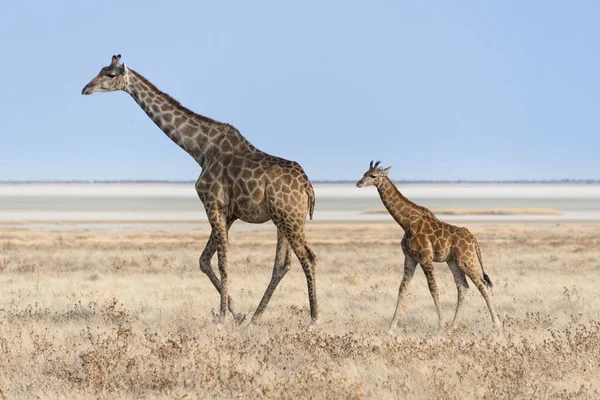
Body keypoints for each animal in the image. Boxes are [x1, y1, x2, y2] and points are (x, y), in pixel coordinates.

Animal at [82, 54, 322, 326]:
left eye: (110, 74)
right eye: (100, 69)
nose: (86, 88)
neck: (200, 149)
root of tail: (308, 187)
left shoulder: (213, 204)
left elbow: (222, 261)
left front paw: (221, 318)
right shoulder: (228, 213)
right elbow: (204, 260)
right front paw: (237, 314)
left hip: (290, 218)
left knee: (308, 258)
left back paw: (313, 320)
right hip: (281, 219)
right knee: (282, 265)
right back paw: (255, 318)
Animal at [356, 160, 502, 332]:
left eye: (373, 176)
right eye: (364, 173)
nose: (359, 183)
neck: (406, 223)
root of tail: (473, 239)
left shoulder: (426, 258)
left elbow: (433, 289)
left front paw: (441, 325)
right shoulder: (410, 258)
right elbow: (402, 288)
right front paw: (391, 327)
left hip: (466, 260)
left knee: (482, 284)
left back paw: (497, 323)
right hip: (453, 261)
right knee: (463, 286)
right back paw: (453, 326)